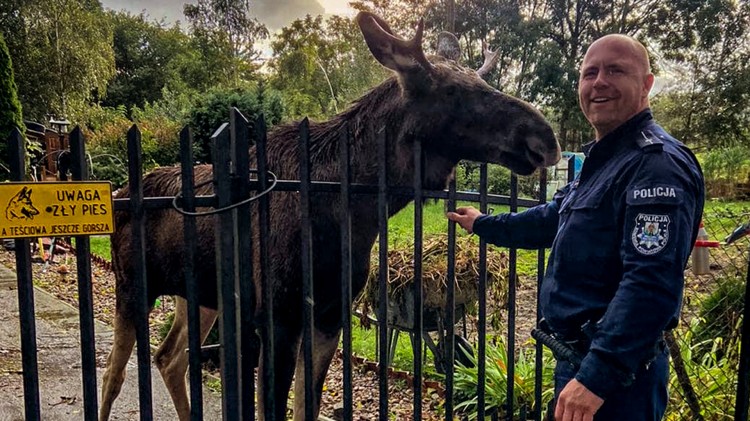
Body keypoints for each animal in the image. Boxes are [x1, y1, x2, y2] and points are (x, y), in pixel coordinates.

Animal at [98, 9, 560, 420]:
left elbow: (308, 405)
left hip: (197, 296)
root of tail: (120, 190)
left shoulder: (329, 316)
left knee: (168, 357)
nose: (546, 138)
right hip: (132, 286)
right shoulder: (279, 318)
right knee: (113, 374)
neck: (355, 214)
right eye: (450, 91)